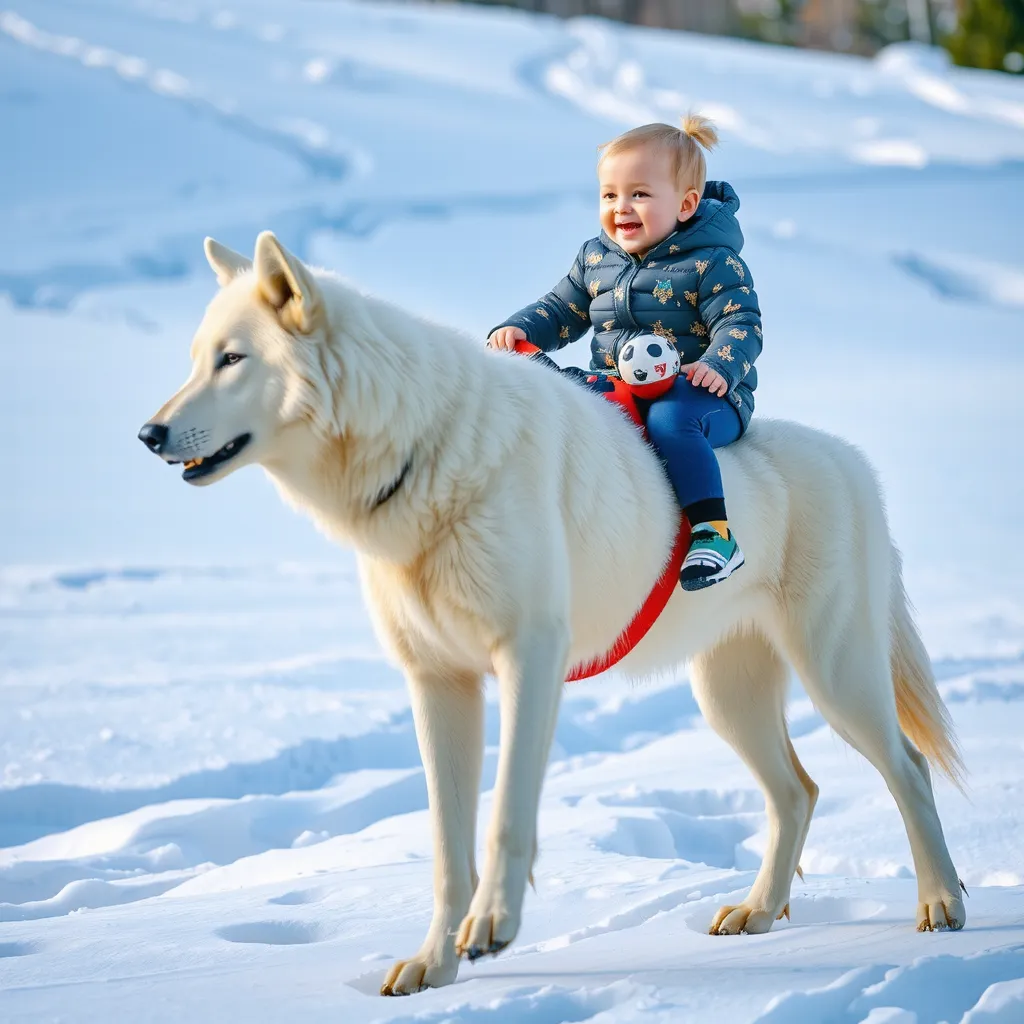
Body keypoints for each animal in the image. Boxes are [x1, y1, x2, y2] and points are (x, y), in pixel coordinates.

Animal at [140, 232, 962, 991]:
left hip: (836, 677)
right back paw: (756, 912)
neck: (419, 449)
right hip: (727, 696)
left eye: (233, 359)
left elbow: (506, 816)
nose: (148, 434)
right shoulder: (437, 683)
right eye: (196, 358)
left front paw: (493, 929)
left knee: (909, 768)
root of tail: (856, 465)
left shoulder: (528, 659)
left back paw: (941, 903)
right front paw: (435, 964)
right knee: (798, 791)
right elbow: (447, 846)